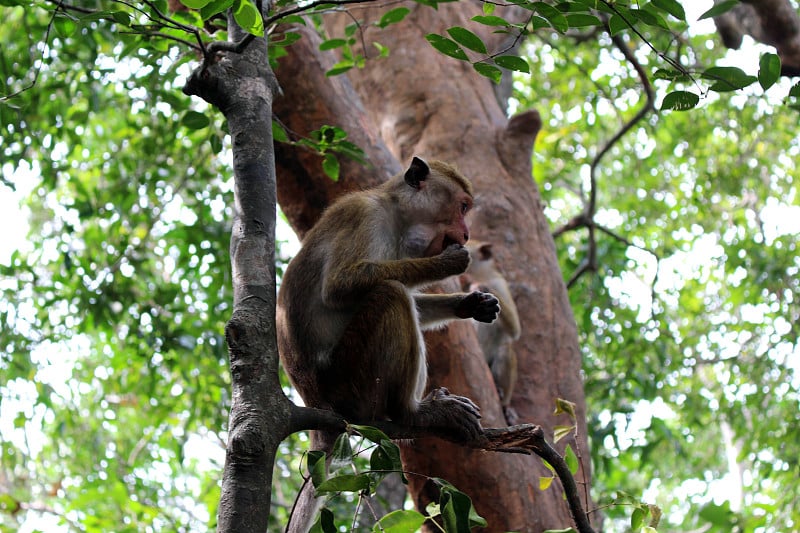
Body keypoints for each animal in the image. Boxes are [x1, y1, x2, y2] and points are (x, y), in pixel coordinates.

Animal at [278, 156, 496, 446]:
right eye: (462, 207)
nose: (467, 234)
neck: (396, 216)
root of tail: (316, 400)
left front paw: (471, 303)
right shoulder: (365, 215)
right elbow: (338, 286)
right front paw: (447, 262)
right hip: (348, 381)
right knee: (392, 294)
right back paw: (412, 413)